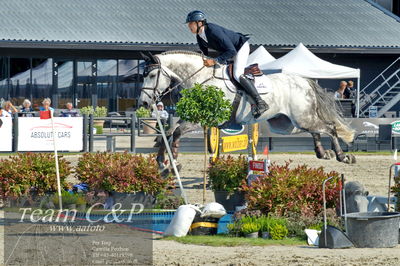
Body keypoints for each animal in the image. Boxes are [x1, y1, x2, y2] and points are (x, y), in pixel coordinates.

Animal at [138, 50, 356, 170]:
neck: (200, 79)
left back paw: (342, 156)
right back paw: (322, 152)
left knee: (329, 127)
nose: (143, 103)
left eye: (152, 75)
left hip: (301, 118)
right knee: (316, 129)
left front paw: (173, 161)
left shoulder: (202, 119)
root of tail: (303, 81)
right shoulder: (192, 117)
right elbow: (168, 132)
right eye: (143, 75)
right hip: (287, 123)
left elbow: (176, 132)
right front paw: (163, 162)